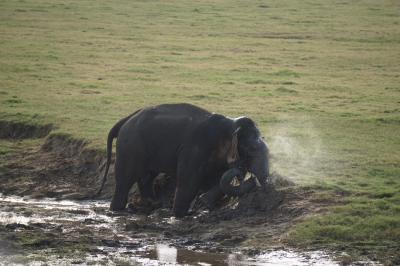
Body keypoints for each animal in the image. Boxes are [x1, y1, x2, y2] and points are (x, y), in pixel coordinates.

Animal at [96, 103, 268, 217]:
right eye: (251, 149)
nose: (253, 180)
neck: (230, 124)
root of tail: (126, 119)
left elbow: (216, 181)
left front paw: (204, 206)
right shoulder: (194, 149)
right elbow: (188, 183)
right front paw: (179, 216)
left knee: (146, 178)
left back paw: (151, 204)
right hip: (130, 146)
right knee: (124, 181)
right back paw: (118, 210)